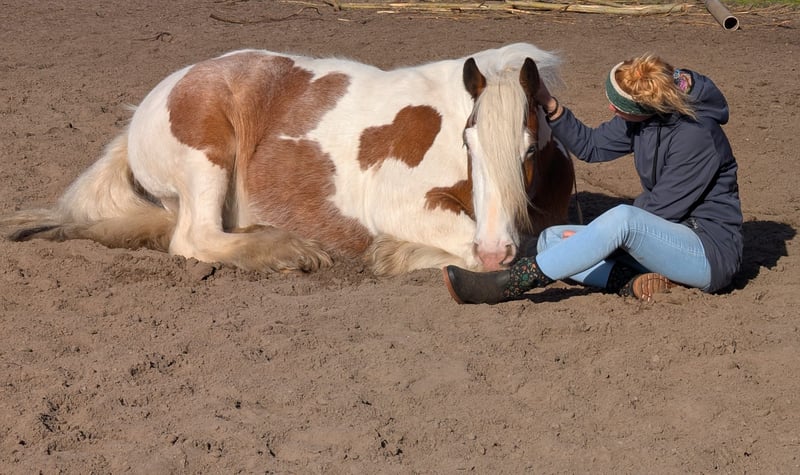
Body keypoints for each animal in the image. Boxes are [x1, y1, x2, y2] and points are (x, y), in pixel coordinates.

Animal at [2, 43, 575, 275]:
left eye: (530, 149)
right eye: (467, 143)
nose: (495, 252)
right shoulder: (397, 203)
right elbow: (462, 243)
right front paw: (393, 254)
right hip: (207, 158)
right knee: (193, 238)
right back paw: (290, 251)